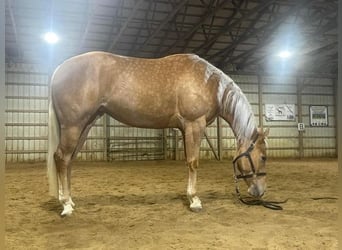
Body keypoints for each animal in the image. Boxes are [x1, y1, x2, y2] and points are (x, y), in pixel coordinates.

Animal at [46, 51, 270, 216]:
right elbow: (194, 162)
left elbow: (188, 162)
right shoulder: (194, 125)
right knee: (61, 157)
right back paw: (66, 205)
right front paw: (195, 200)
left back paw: (70, 200)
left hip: (85, 125)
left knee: (68, 160)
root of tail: (59, 70)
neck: (210, 84)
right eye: (264, 157)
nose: (259, 192)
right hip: (73, 126)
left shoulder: (185, 129)